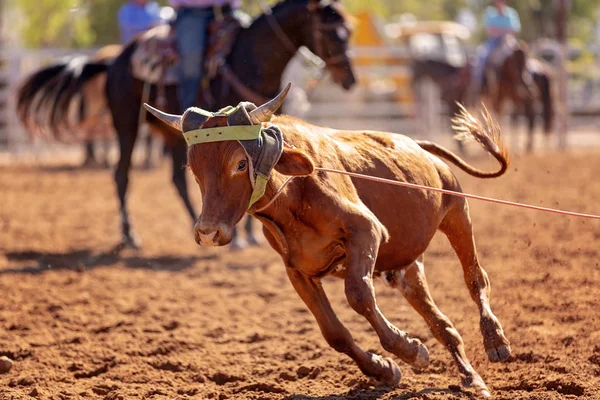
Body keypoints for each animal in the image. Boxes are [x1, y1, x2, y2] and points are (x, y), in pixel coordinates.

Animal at [15, 0, 356, 248]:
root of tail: (115, 61)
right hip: (126, 125)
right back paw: (130, 235)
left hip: (169, 135)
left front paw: (248, 234)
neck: (250, 59)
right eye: (330, 33)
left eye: (348, 32)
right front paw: (238, 237)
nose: (350, 79)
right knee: (122, 175)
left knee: (177, 180)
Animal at [145, 87, 510, 396]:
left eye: (240, 163)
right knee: (441, 322)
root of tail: (420, 145)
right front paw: (383, 369)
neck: (294, 193)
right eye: (194, 168)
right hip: (408, 266)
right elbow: (334, 333)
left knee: (476, 278)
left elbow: (359, 295)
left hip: (457, 212)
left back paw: (494, 342)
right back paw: (471, 378)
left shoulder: (367, 230)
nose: (207, 232)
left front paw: (410, 350)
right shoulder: (297, 270)